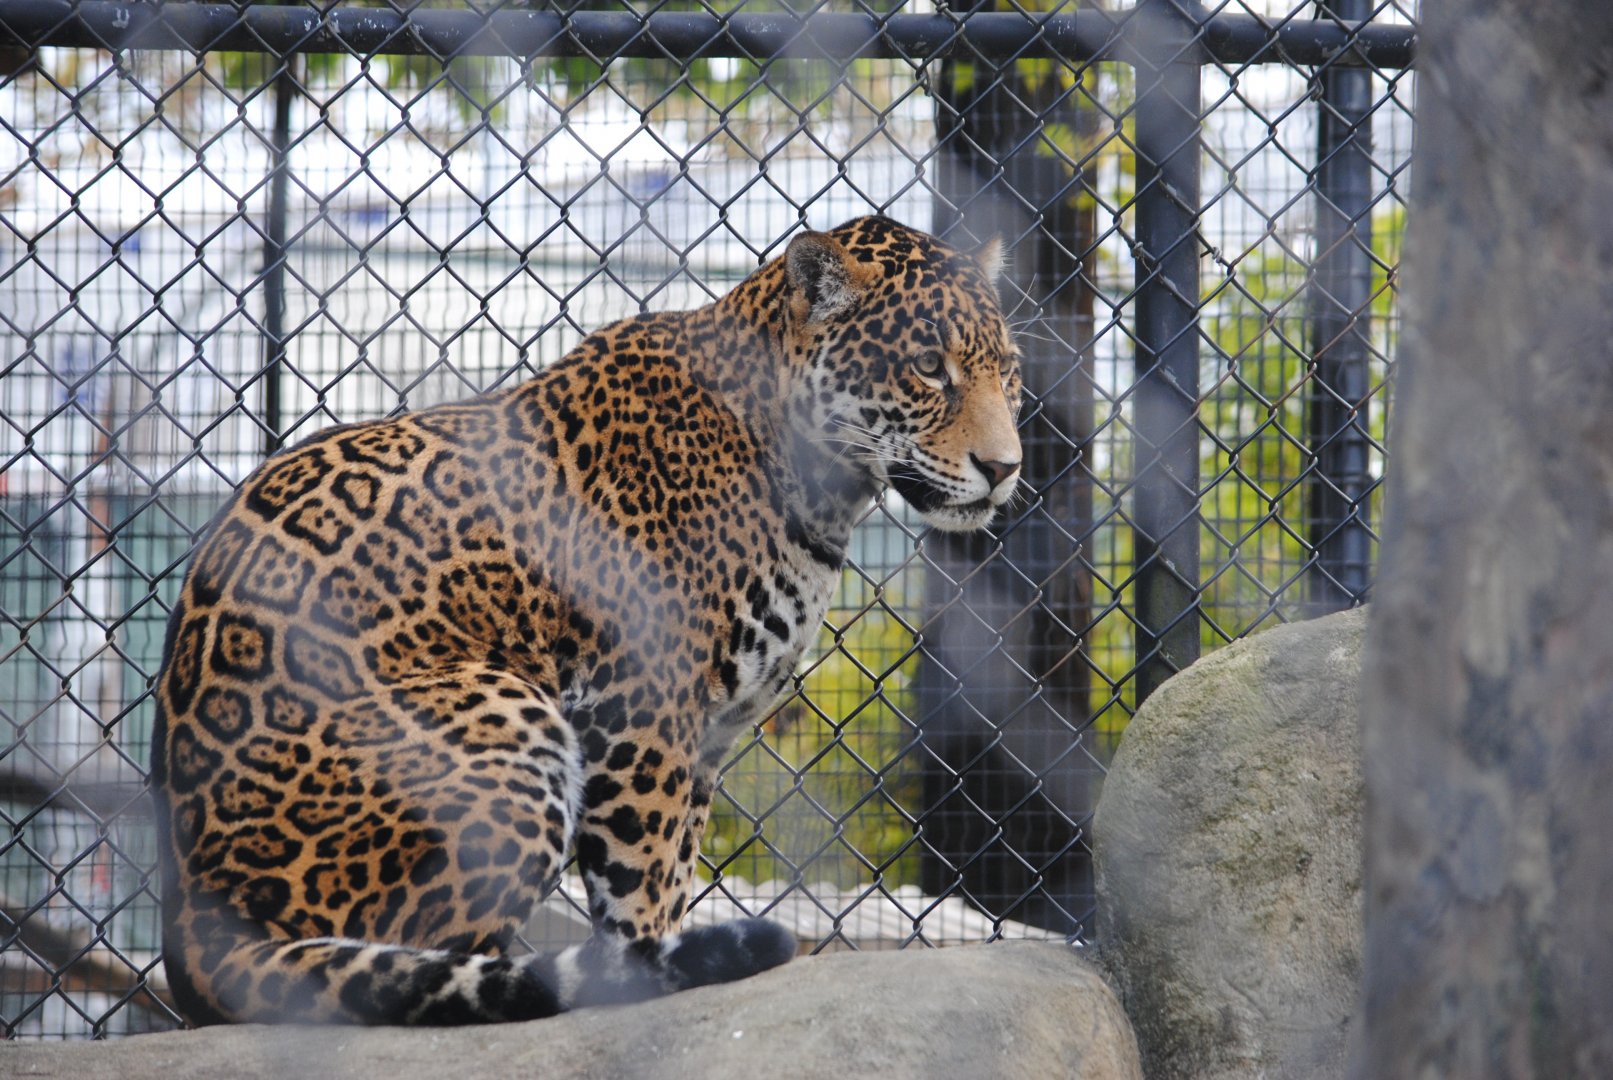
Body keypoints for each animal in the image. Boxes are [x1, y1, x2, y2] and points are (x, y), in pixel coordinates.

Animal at [149, 215, 1024, 1025]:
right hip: (502, 715)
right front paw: (646, 981)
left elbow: (675, 874)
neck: (819, 485)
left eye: (1007, 373)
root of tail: (189, 918)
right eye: (928, 368)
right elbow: (642, 879)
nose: (1005, 467)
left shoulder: (705, 740)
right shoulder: (642, 710)